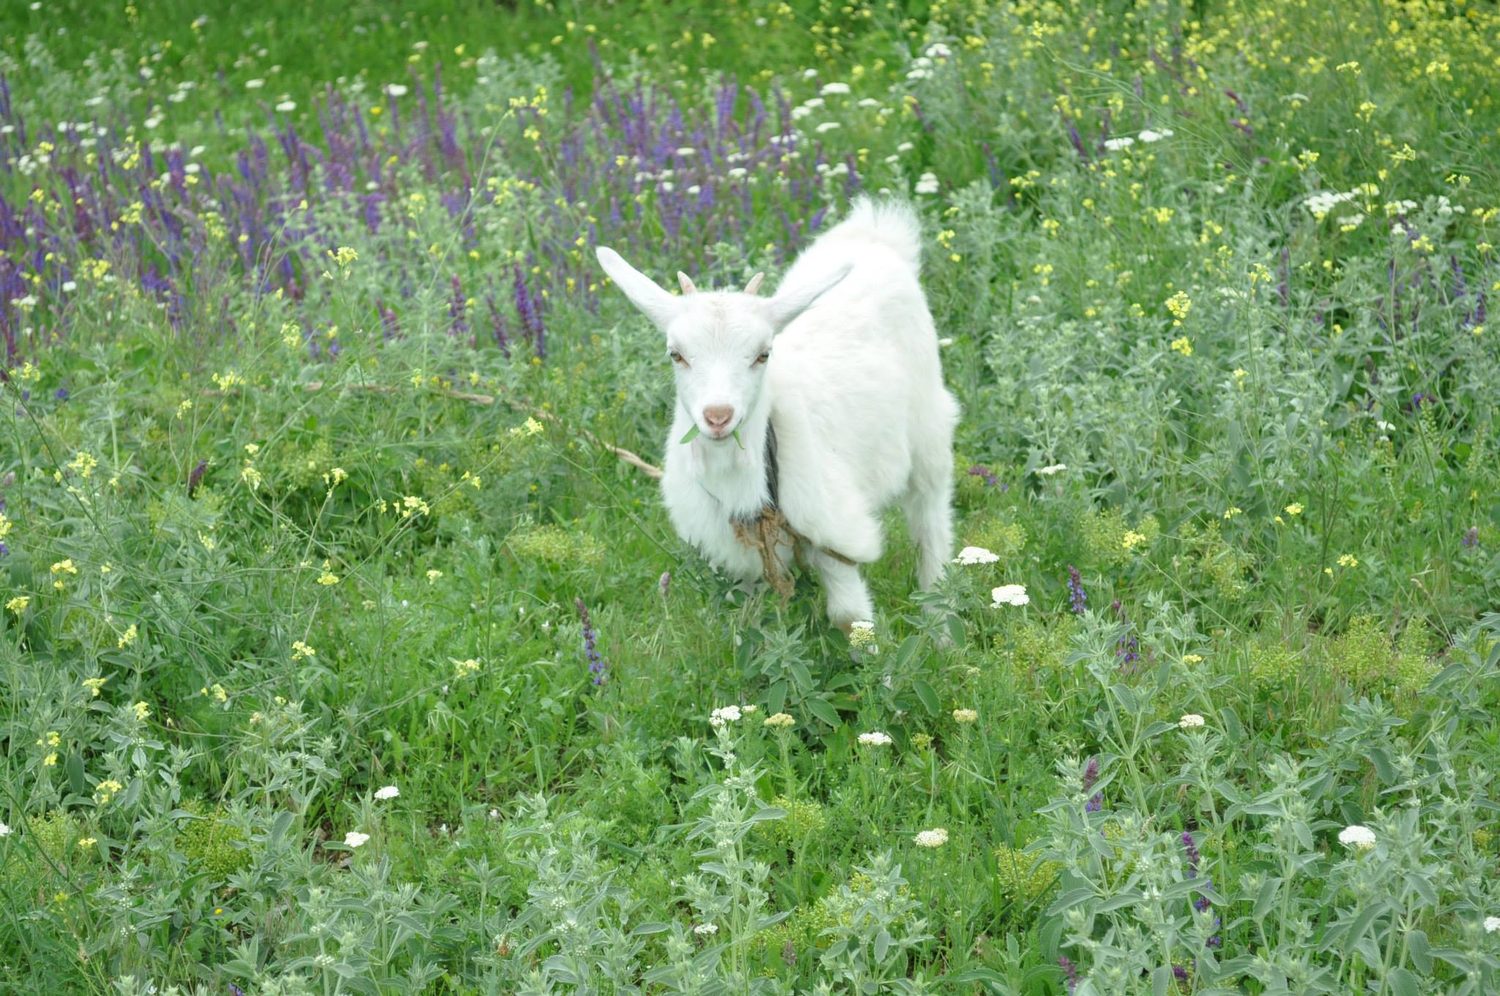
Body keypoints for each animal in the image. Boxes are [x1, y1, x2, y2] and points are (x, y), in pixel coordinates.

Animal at [595, 197, 958, 629]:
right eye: (676, 354)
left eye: (762, 354)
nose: (718, 416)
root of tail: (876, 235)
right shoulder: (738, 560)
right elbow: (747, 625)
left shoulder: (832, 528)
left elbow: (850, 617)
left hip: (928, 434)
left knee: (931, 531)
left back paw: (942, 629)